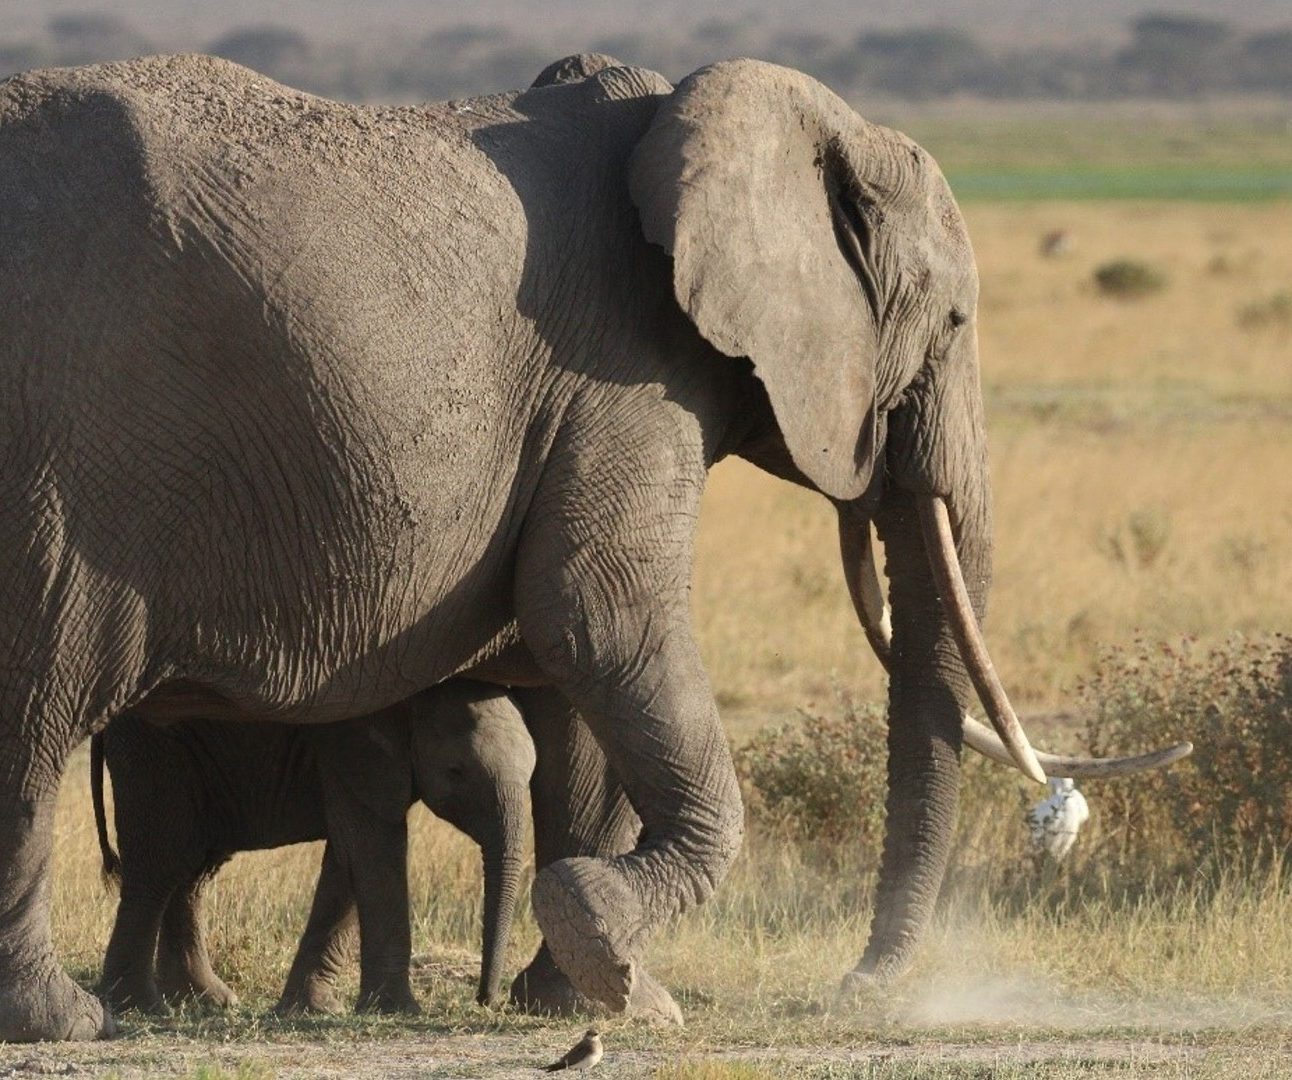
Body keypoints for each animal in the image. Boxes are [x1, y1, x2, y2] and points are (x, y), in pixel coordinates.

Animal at [93, 676, 532, 1017]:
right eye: (456, 772)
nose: (486, 1000)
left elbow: (346, 859)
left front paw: (314, 1009)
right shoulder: (354, 746)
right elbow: (372, 848)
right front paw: (396, 1010)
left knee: (192, 869)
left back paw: (206, 1000)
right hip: (156, 751)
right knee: (160, 863)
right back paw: (138, 1005)